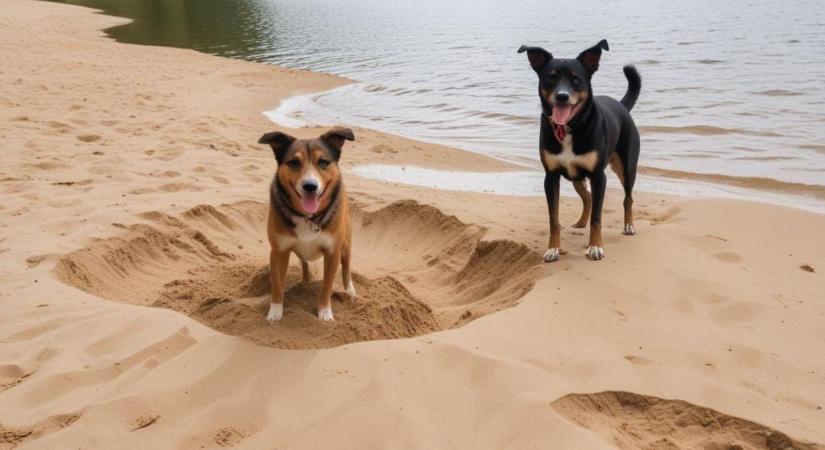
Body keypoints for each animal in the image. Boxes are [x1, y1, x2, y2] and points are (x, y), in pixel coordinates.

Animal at [258, 127, 354, 324]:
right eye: (294, 162)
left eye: (323, 162)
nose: (310, 186)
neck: (307, 217)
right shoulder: (279, 251)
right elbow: (277, 284)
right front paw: (275, 311)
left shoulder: (333, 252)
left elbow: (327, 286)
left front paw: (324, 312)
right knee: (305, 264)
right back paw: (304, 283)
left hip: (346, 243)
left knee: (347, 267)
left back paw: (350, 291)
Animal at [520, 41, 640, 264]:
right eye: (551, 77)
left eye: (576, 79)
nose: (562, 96)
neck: (568, 127)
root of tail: (621, 105)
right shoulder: (551, 177)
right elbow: (554, 219)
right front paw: (553, 249)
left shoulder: (598, 176)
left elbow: (597, 218)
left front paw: (595, 247)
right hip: (576, 176)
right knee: (588, 198)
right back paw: (581, 222)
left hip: (627, 167)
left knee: (627, 198)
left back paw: (628, 226)